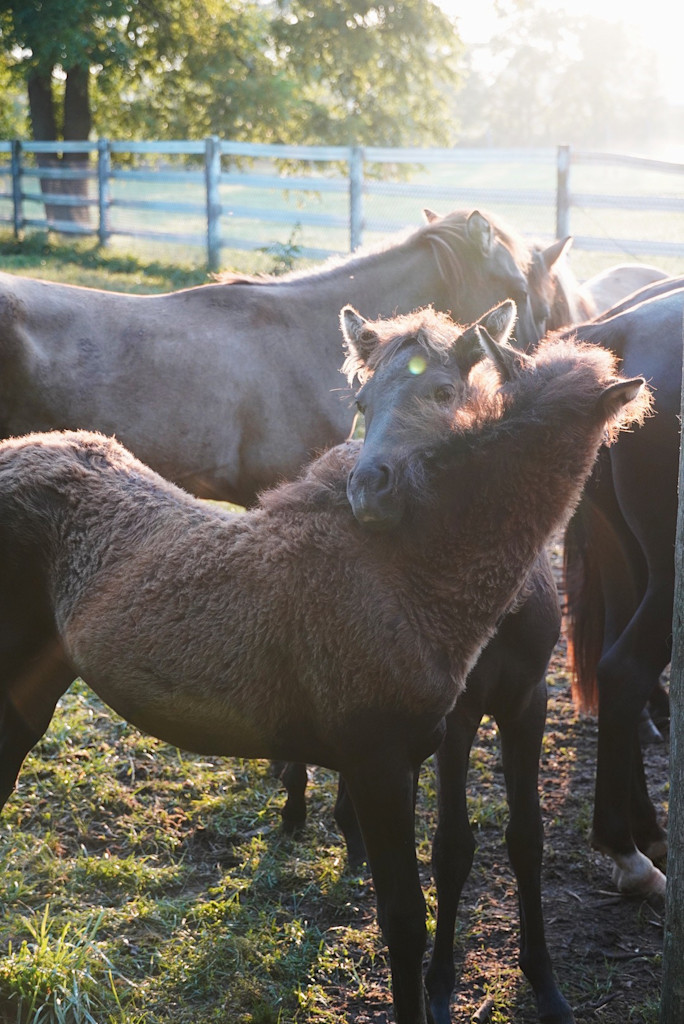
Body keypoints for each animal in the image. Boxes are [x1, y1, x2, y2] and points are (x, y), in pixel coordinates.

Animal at [0, 312, 647, 1024]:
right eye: (361, 403)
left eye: (445, 392)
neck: (409, 568)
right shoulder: (377, 762)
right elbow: (404, 920)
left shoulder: (431, 744)